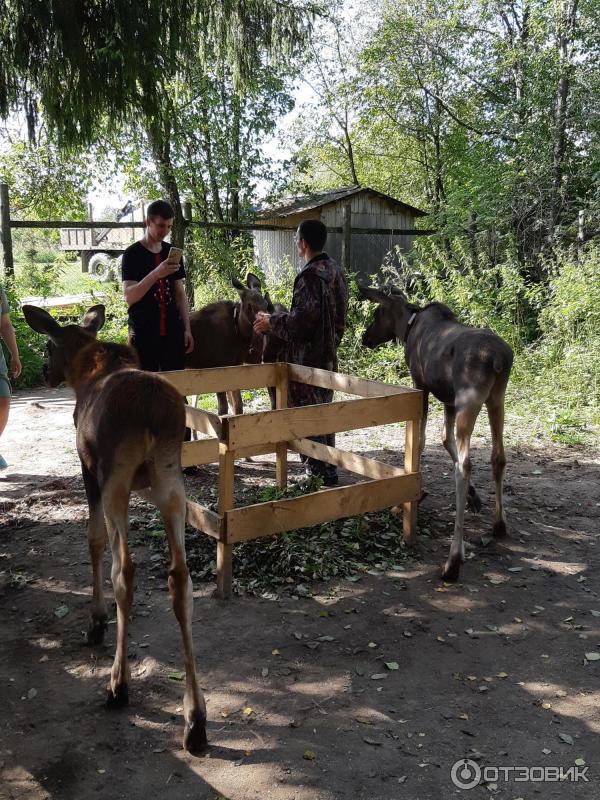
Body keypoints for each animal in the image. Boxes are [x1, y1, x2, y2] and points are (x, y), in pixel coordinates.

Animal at [22, 304, 209, 752]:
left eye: (48, 345)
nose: (46, 371)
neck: (84, 369)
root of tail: (151, 412)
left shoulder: (88, 472)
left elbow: (93, 541)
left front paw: (96, 621)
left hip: (117, 479)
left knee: (123, 568)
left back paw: (118, 684)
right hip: (169, 477)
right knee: (180, 576)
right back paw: (195, 716)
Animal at [358, 288, 512, 580]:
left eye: (377, 312)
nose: (365, 338)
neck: (407, 325)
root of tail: (499, 360)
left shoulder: (421, 385)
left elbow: (420, 441)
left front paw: (409, 499)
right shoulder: (448, 399)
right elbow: (443, 438)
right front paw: (475, 497)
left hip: (469, 399)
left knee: (465, 465)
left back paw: (453, 559)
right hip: (497, 398)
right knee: (498, 456)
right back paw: (499, 524)